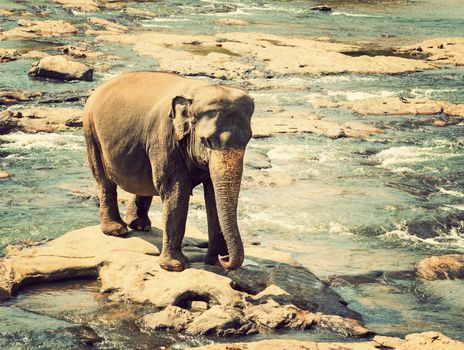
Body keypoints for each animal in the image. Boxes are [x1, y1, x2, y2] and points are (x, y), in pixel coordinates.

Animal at [83, 71, 254, 272]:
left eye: (247, 140)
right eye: (207, 140)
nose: (225, 258)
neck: (196, 92)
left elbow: (212, 195)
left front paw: (215, 263)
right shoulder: (164, 138)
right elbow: (176, 190)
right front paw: (175, 267)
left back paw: (139, 226)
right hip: (91, 131)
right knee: (104, 180)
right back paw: (117, 230)